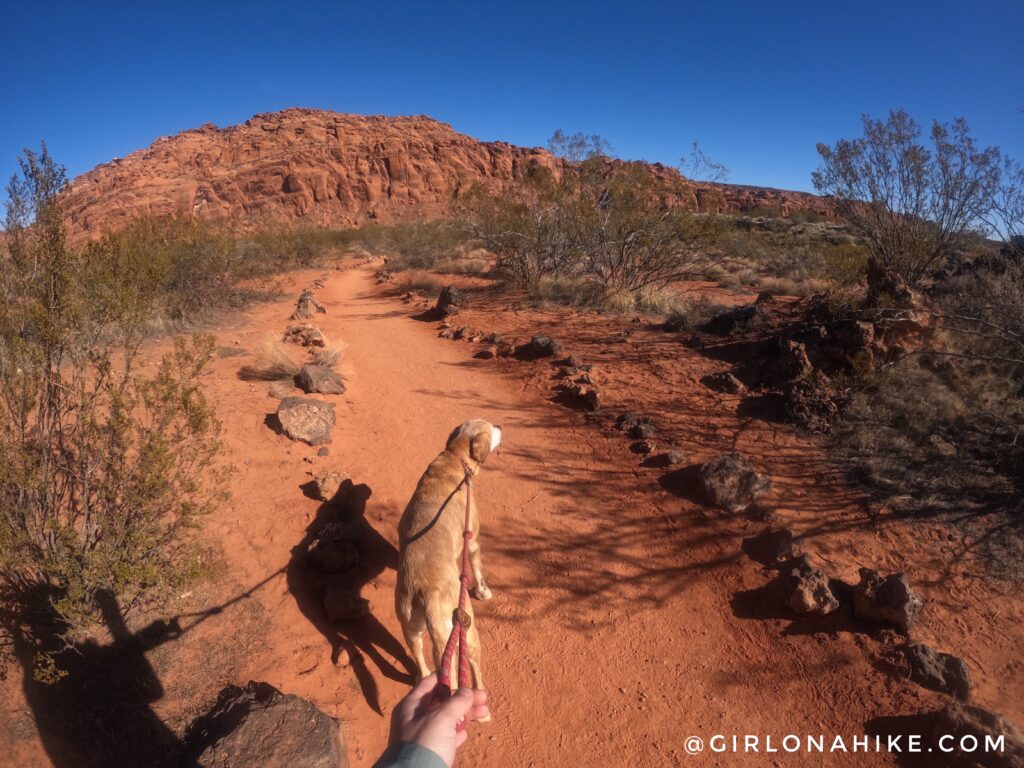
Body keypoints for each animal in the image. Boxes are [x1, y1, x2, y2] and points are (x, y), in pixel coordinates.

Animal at [393, 417, 501, 688]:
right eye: (489, 427)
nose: (501, 426)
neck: (455, 457)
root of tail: (427, 593)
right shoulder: (472, 541)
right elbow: (478, 570)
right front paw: (483, 591)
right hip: (467, 631)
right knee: (474, 670)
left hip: (411, 627)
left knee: (419, 657)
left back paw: (422, 677)